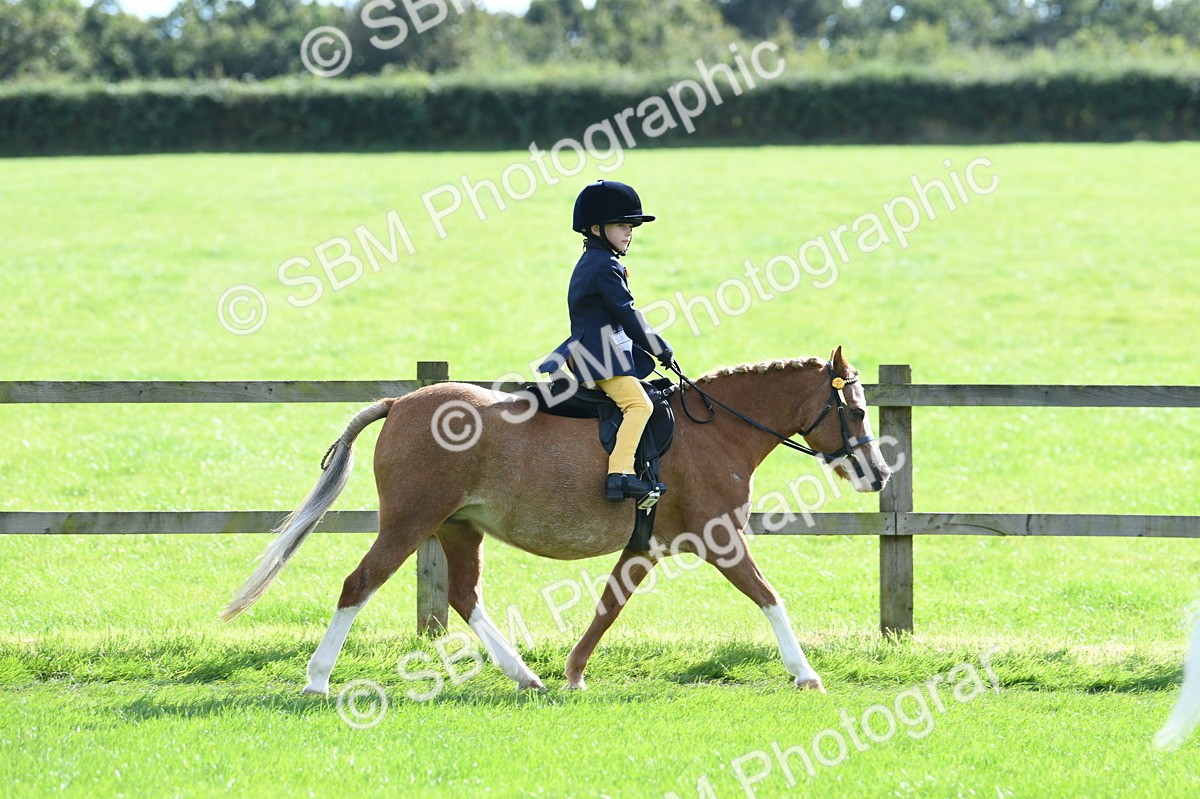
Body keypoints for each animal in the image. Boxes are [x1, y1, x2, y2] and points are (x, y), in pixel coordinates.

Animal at [220, 346, 892, 694]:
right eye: (856, 410)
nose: (879, 475)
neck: (718, 429)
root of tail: (403, 402)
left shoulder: (646, 546)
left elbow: (609, 606)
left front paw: (571, 673)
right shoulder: (720, 539)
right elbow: (769, 596)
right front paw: (805, 673)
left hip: (458, 527)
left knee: (464, 595)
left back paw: (524, 675)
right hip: (409, 524)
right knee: (359, 585)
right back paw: (317, 680)